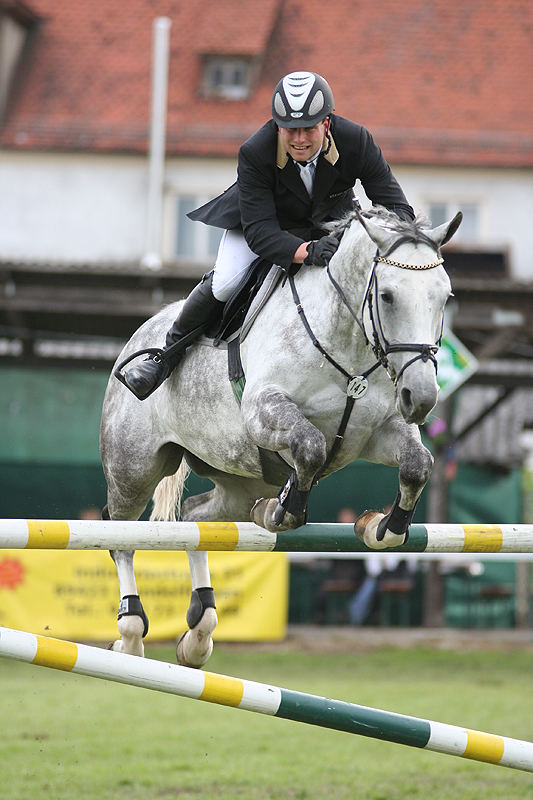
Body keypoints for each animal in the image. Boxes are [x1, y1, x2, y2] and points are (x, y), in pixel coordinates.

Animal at [100, 205, 462, 664]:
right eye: (388, 296)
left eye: (444, 297)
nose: (422, 397)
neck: (348, 344)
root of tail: (143, 330)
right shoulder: (263, 410)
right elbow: (309, 446)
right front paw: (282, 510)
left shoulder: (379, 432)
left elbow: (418, 464)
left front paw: (384, 527)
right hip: (134, 468)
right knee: (120, 537)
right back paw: (130, 635)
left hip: (239, 481)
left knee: (196, 517)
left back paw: (199, 633)